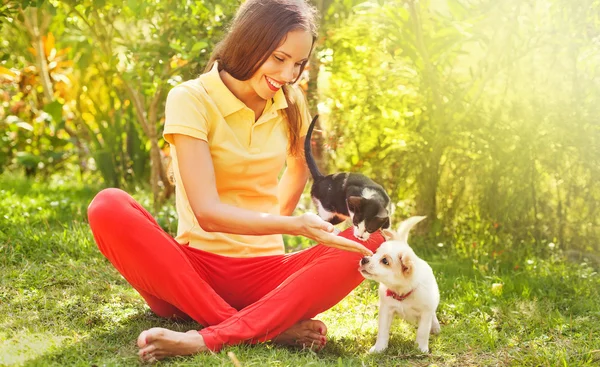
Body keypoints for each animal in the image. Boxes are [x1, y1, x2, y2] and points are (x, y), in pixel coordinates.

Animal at [358, 217, 438, 356]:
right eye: (375, 253)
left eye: (385, 261)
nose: (364, 259)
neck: (401, 293)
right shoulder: (386, 310)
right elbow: (383, 331)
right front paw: (379, 348)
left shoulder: (426, 313)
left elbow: (422, 332)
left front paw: (421, 349)